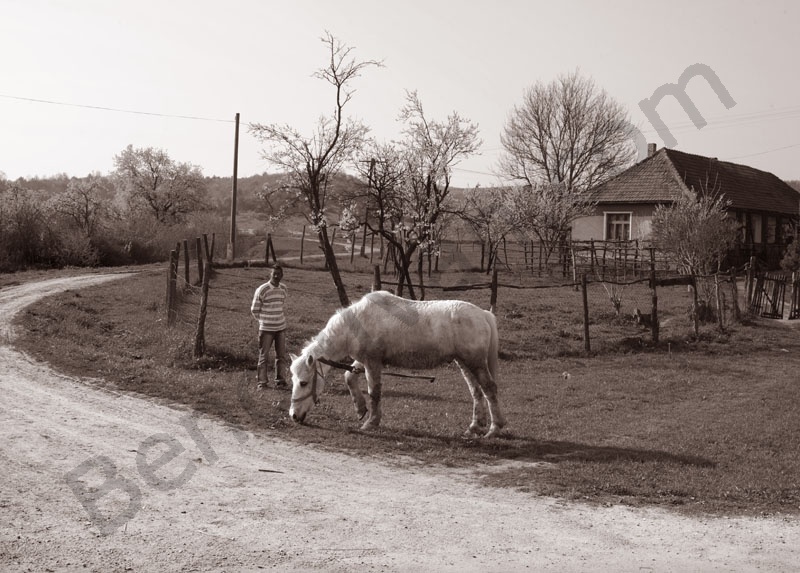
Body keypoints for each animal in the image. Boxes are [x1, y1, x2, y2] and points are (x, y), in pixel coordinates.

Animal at [290, 290, 506, 438]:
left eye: (303, 383)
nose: (293, 415)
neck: (356, 323)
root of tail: (483, 314)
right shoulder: (363, 360)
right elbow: (349, 376)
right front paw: (360, 408)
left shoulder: (373, 362)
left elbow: (374, 392)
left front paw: (371, 422)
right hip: (464, 363)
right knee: (476, 391)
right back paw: (474, 427)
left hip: (475, 362)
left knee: (489, 389)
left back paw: (495, 429)